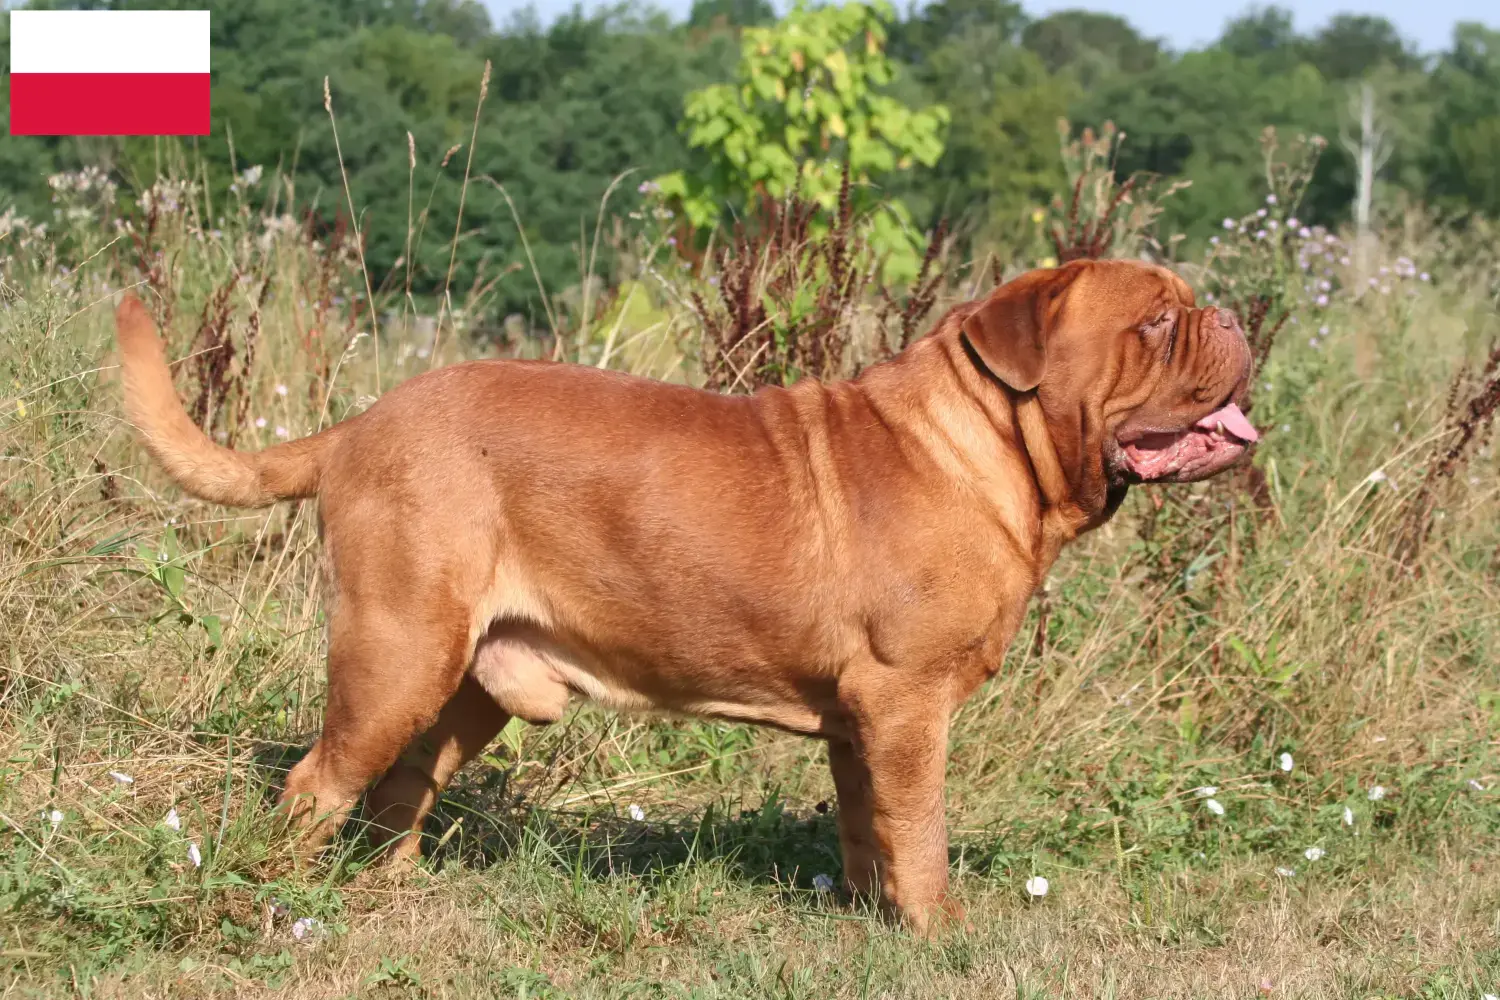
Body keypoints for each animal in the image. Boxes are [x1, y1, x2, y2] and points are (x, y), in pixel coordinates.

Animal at [111, 256, 1254, 929]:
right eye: (1158, 322)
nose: (1235, 317)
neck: (989, 446)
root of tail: (357, 426)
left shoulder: (861, 720)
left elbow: (868, 829)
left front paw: (869, 920)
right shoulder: (907, 703)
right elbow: (921, 836)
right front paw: (940, 937)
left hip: (464, 681)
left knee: (401, 786)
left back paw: (392, 893)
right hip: (395, 652)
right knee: (317, 784)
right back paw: (271, 901)